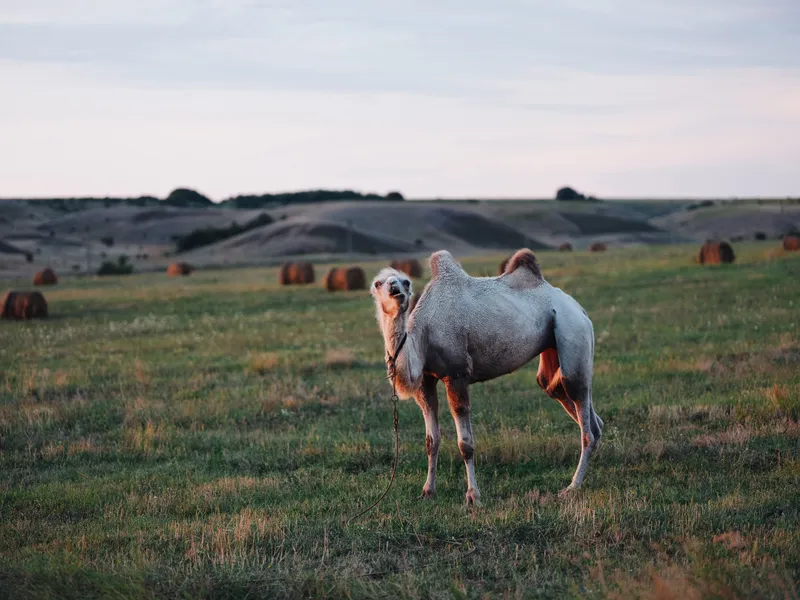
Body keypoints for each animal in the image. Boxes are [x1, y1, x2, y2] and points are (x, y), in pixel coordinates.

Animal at [370, 249, 602, 505]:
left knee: (581, 405)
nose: (395, 289)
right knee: (565, 396)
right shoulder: (425, 382)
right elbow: (431, 441)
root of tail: (578, 308)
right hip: (554, 348)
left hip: (573, 331)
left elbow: (465, 444)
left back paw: (572, 486)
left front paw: (473, 496)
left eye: (406, 281)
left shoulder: (457, 374)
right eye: (378, 283)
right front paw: (428, 491)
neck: (423, 335)